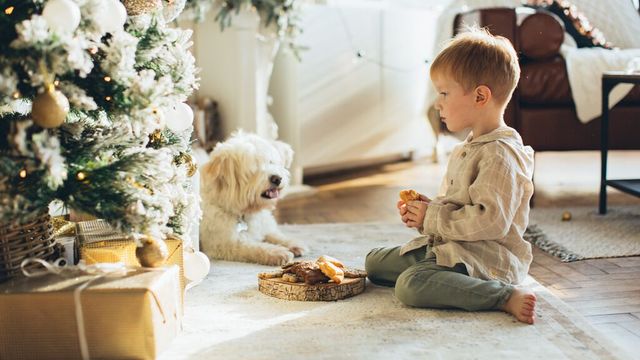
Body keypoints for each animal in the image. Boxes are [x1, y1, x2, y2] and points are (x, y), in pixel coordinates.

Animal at [199, 131, 306, 266]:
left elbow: (274, 234)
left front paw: (292, 243)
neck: (246, 211)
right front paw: (277, 252)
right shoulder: (223, 244)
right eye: (253, 169)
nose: (277, 178)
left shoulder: (265, 226)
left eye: (270, 162)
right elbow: (255, 247)